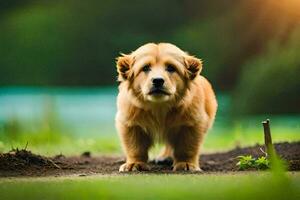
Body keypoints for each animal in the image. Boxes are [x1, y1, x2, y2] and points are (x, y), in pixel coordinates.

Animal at [116, 43, 217, 171]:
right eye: (145, 68)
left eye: (171, 68)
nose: (158, 80)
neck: (159, 107)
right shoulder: (130, 123)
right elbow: (135, 147)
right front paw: (134, 163)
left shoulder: (193, 123)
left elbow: (187, 147)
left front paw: (186, 163)